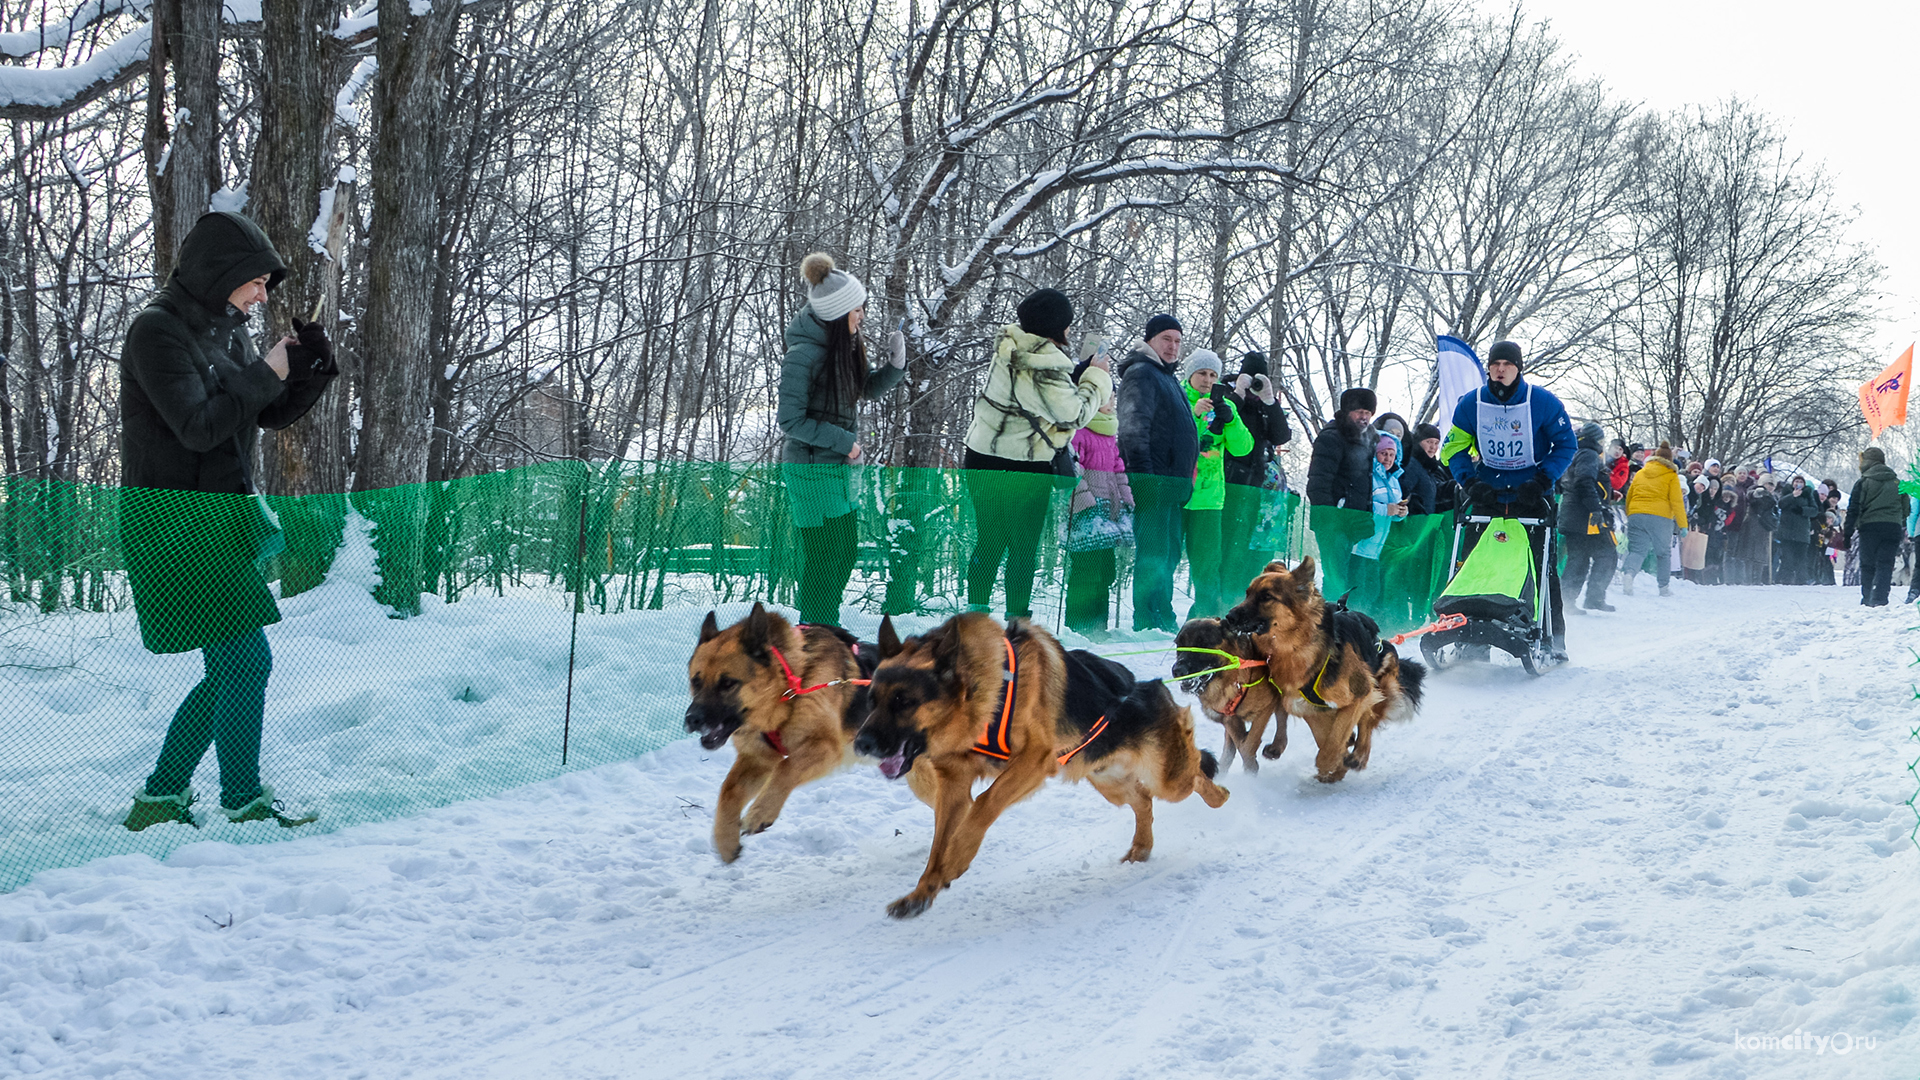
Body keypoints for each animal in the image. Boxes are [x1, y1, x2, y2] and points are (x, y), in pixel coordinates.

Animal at [683, 599, 879, 860]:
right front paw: (725, 840)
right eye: (696, 681)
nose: (692, 720)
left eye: (727, 683)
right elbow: (728, 791)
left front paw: (759, 813)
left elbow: (786, 768)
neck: (792, 683)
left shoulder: (824, 748)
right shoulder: (758, 759)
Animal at [856, 611, 1228, 910]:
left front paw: (957, 857)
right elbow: (937, 847)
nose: (861, 743)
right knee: (1143, 801)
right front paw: (923, 891)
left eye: (904, 701)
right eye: (872, 700)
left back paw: (1220, 797)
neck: (983, 694)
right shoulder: (953, 786)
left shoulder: (1032, 761)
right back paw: (1141, 847)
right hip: (1108, 780)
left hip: (1168, 777)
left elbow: (984, 805)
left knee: (1195, 774)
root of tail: (1154, 687)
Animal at [1167, 614, 1290, 772]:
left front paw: (1250, 769)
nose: (1177, 671)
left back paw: (1276, 746)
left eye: (1203, 644)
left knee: (1282, 715)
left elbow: (1248, 744)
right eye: (1179, 644)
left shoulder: (1265, 708)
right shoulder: (1229, 718)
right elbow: (1238, 742)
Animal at [1221, 557, 1420, 776]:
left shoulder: (1360, 694)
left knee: (1368, 718)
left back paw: (1359, 755)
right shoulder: (1305, 705)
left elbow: (1336, 737)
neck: (1296, 647)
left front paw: (1331, 762)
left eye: (1266, 597)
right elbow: (1323, 735)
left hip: (1379, 683)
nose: (1228, 617)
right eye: (1247, 593)